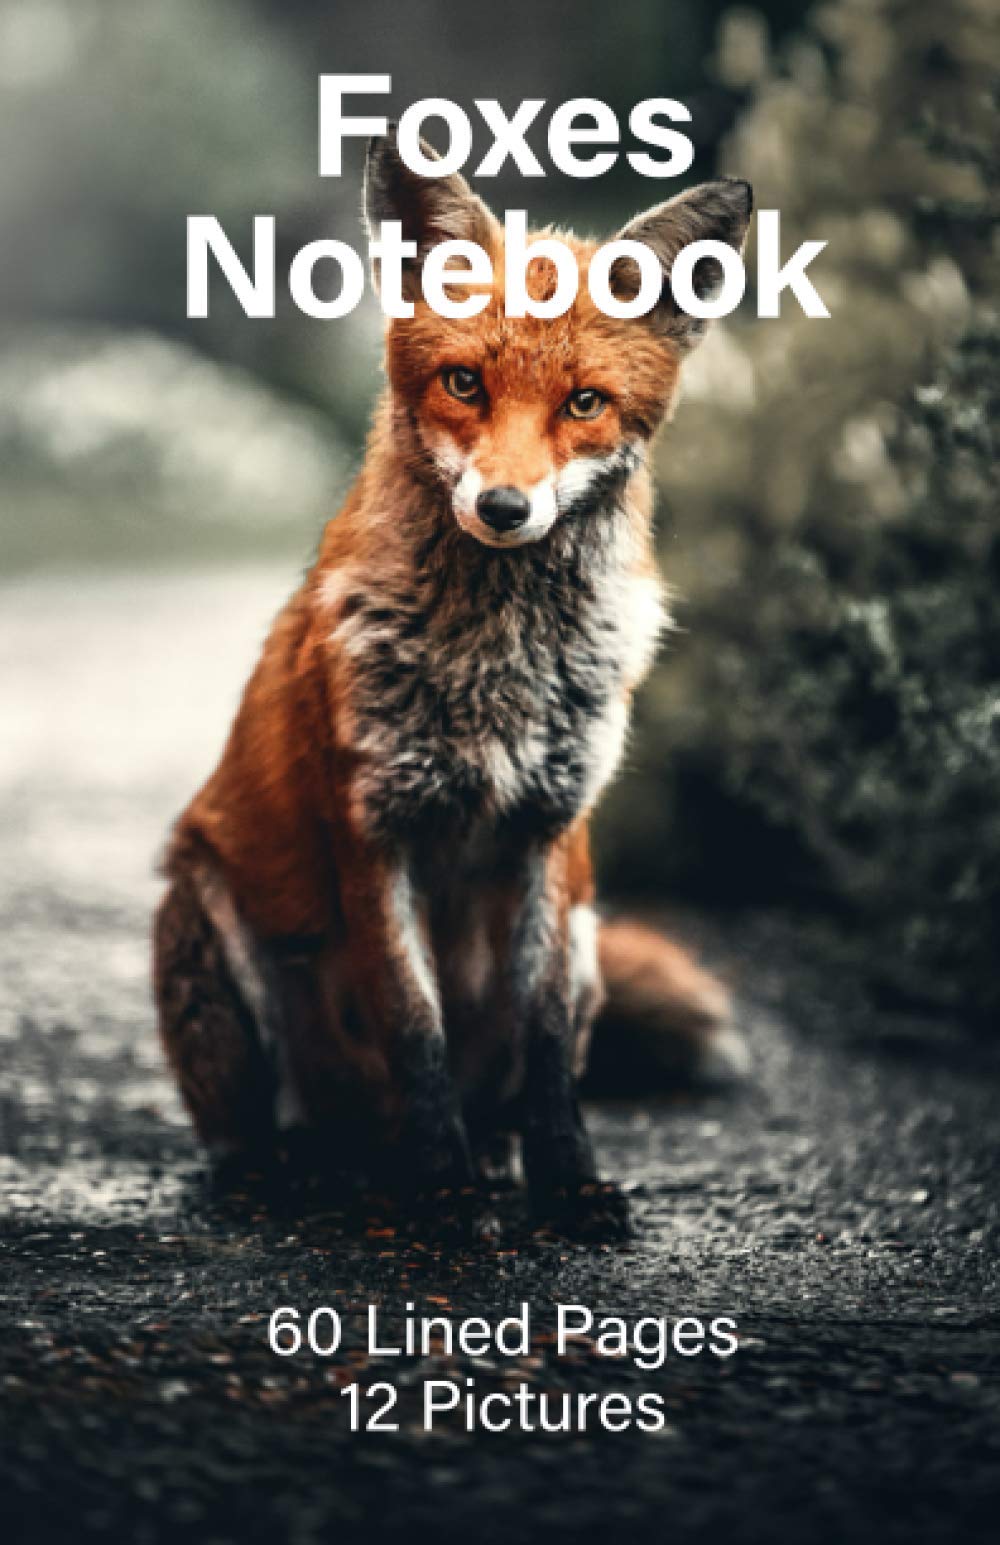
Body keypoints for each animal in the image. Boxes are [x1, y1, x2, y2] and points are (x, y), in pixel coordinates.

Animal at [153, 130, 752, 1237]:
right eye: (464, 383)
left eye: (584, 403)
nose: (506, 507)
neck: (496, 668)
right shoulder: (373, 829)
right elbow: (415, 1029)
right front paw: (442, 1194)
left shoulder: (552, 834)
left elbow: (547, 1046)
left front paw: (567, 1183)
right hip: (209, 916)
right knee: (265, 1132)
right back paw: (311, 1170)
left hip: (592, 934)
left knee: (503, 1089)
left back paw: (489, 1157)